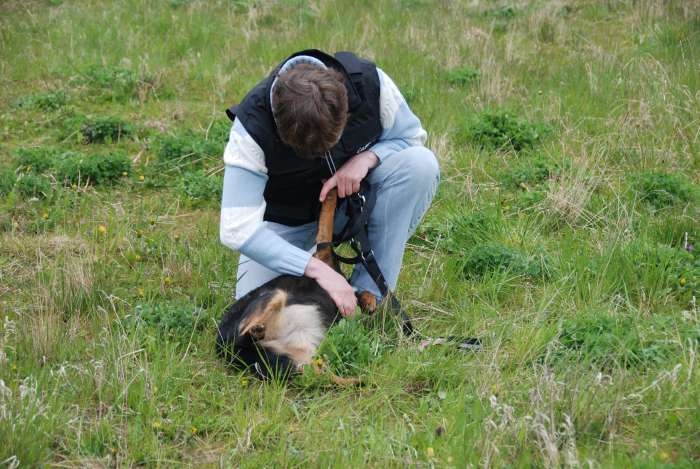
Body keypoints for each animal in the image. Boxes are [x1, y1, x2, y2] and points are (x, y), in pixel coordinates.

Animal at [216, 189, 374, 380]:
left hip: (299, 361)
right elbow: (328, 211)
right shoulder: (323, 249)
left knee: (322, 376)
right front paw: (333, 188)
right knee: (243, 333)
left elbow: (365, 294)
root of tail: (225, 348)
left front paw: (370, 303)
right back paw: (256, 331)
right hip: (274, 295)